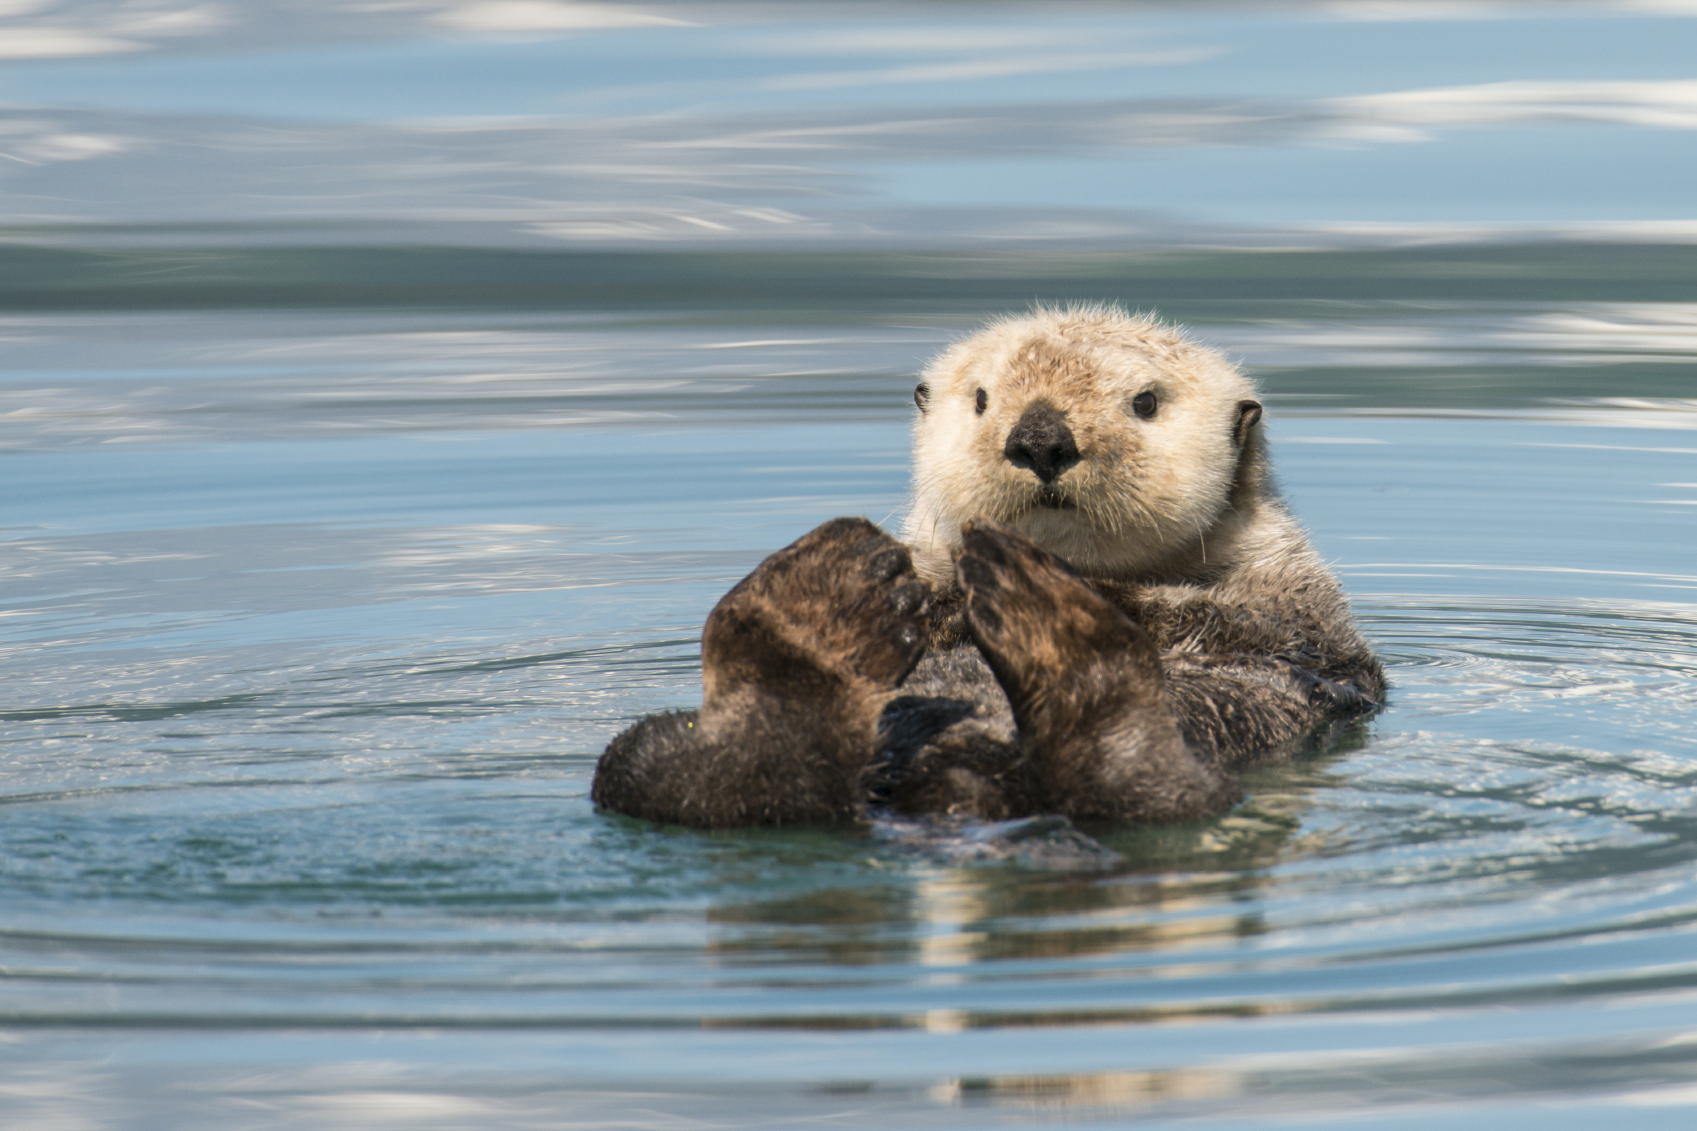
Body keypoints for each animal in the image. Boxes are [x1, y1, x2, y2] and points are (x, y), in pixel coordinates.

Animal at [592, 306, 1383, 829]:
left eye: (1145, 401)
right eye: (980, 398)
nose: (1040, 438)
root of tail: (958, 789)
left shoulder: (1299, 611)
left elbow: (1229, 624)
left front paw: (1072, 589)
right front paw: (919, 590)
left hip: (1183, 786)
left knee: (1137, 783)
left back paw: (1047, 619)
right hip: (648, 758)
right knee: (709, 782)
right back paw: (818, 609)